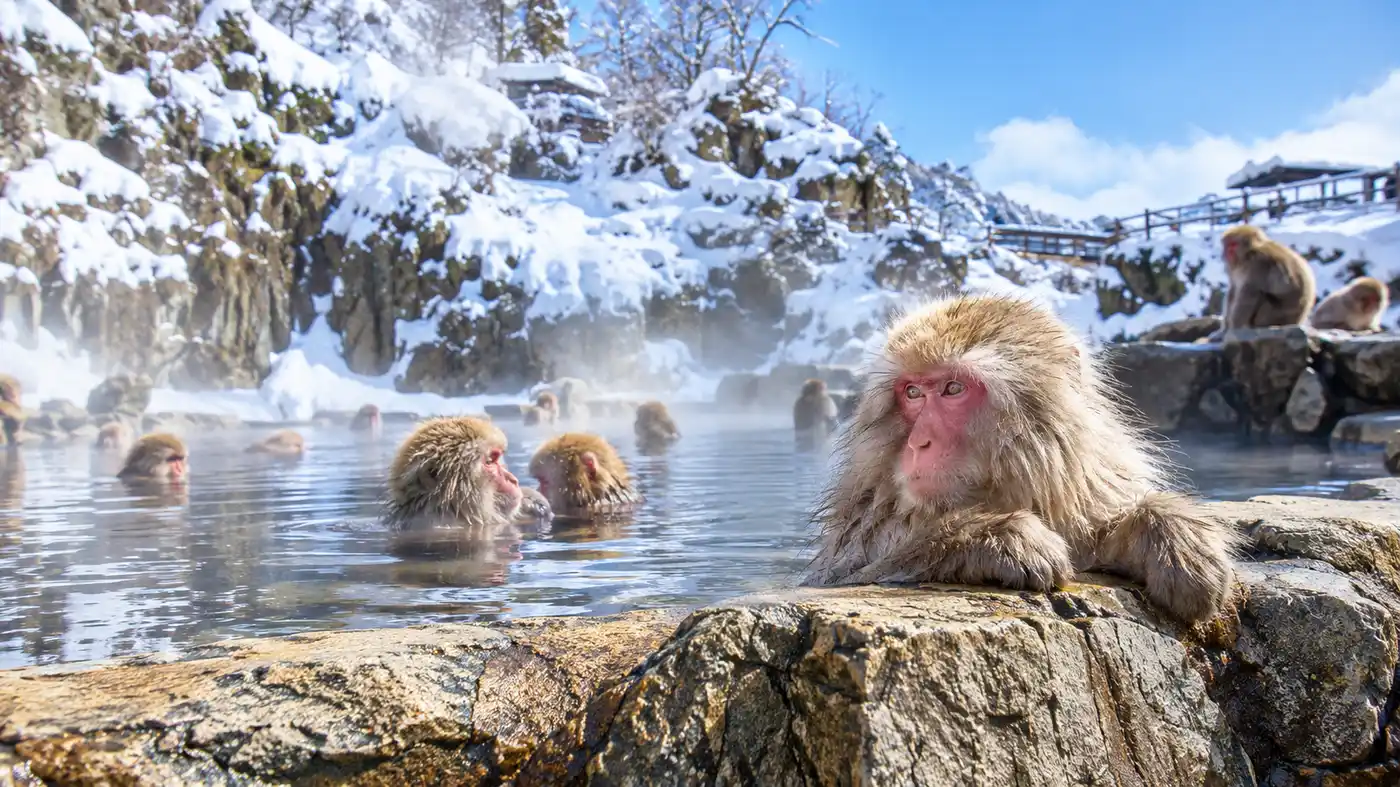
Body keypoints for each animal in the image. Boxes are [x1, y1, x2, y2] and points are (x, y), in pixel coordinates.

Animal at [804, 294, 1241, 624]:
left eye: (953, 388)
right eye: (912, 393)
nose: (918, 443)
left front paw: (1173, 536)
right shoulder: (865, 533)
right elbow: (870, 570)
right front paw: (1001, 538)